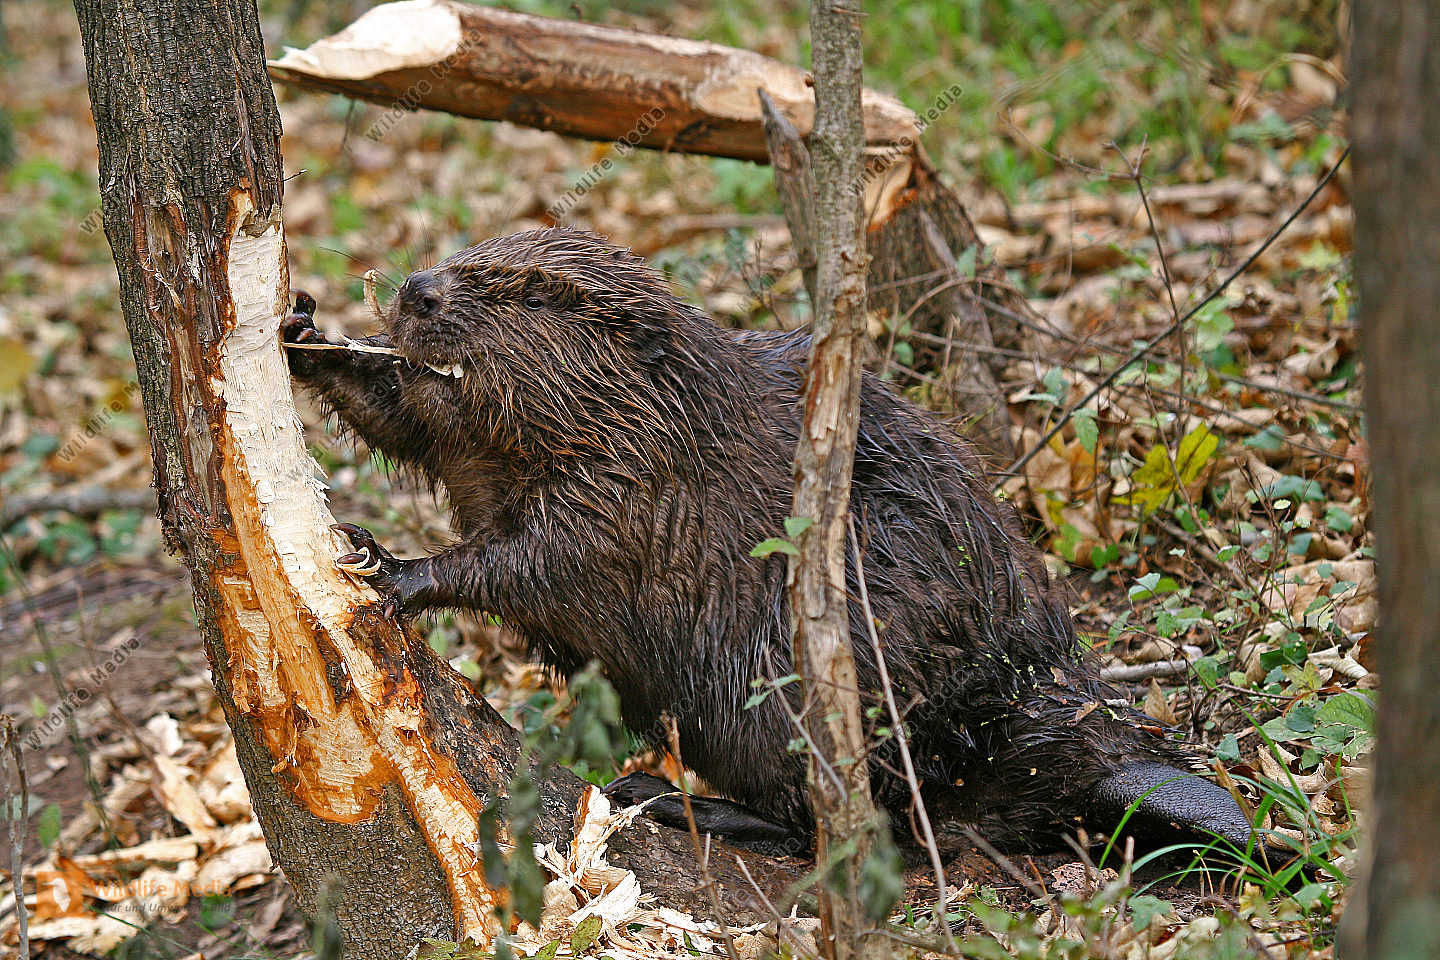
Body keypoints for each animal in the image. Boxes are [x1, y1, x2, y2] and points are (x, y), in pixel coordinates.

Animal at [280, 228, 1249, 857]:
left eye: (530, 292)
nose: (416, 291)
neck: (668, 409)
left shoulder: (637, 485)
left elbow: (540, 559)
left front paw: (387, 563)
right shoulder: (479, 442)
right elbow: (404, 416)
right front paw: (300, 332)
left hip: (792, 696)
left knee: (836, 822)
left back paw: (662, 797)